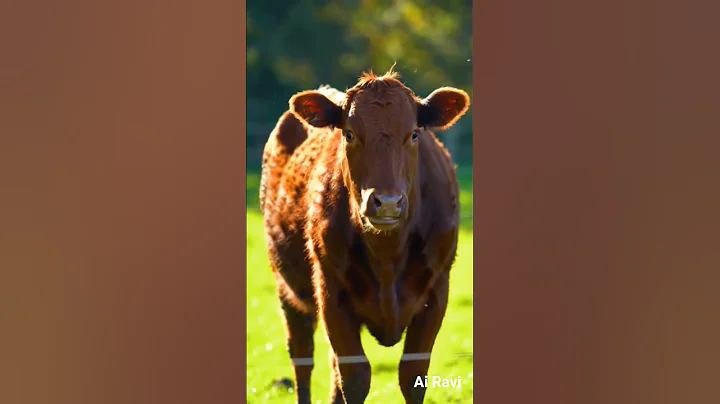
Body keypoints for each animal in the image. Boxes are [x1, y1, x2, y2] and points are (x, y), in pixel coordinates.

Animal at [259, 68, 470, 404]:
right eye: (349, 134)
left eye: (414, 133)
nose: (387, 202)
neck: (387, 255)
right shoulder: (331, 292)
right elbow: (356, 376)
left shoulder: (437, 290)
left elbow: (412, 376)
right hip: (288, 288)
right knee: (302, 356)